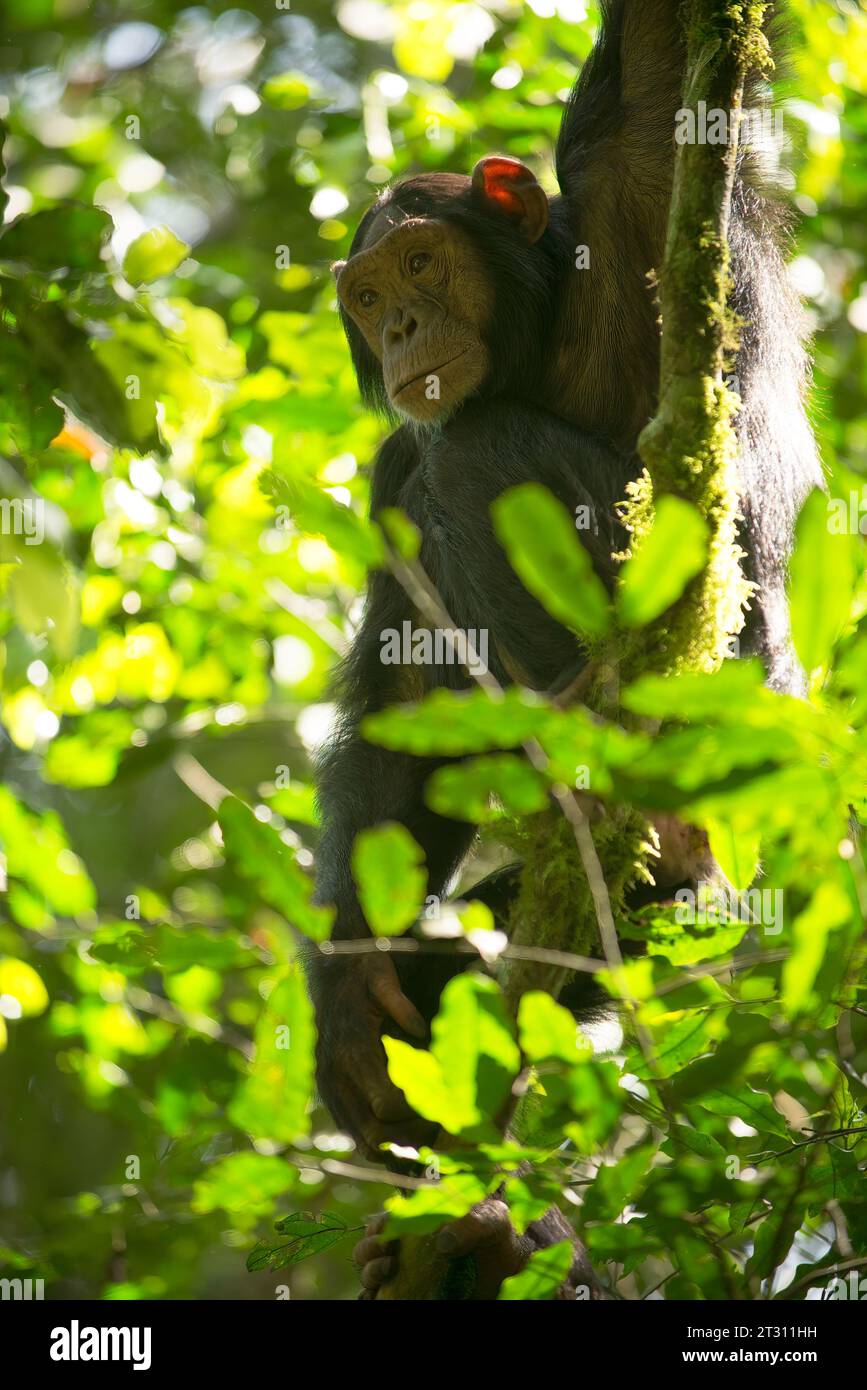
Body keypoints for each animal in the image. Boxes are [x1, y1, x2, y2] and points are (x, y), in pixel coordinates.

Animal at [304, 0, 816, 1295]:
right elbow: (396, 689)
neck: (536, 331)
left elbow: (662, 67)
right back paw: (482, 1230)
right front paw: (344, 991)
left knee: (477, 452)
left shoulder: (634, 178)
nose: (401, 327)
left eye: (421, 265)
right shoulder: (386, 462)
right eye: (368, 295)